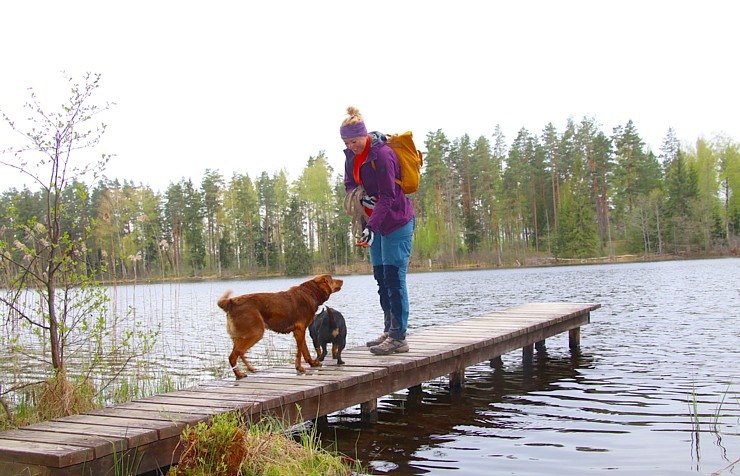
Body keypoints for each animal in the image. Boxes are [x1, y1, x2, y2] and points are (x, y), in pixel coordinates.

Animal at [214, 276, 342, 380]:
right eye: (332, 279)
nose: (342, 280)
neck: (311, 292)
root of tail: (231, 302)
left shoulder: (299, 331)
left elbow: (305, 351)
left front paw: (312, 363)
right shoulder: (300, 329)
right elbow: (299, 352)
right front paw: (299, 367)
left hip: (240, 336)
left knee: (232, 356)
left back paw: (239, 374)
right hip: (256, 332)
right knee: (240, 352)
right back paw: (250, 369)